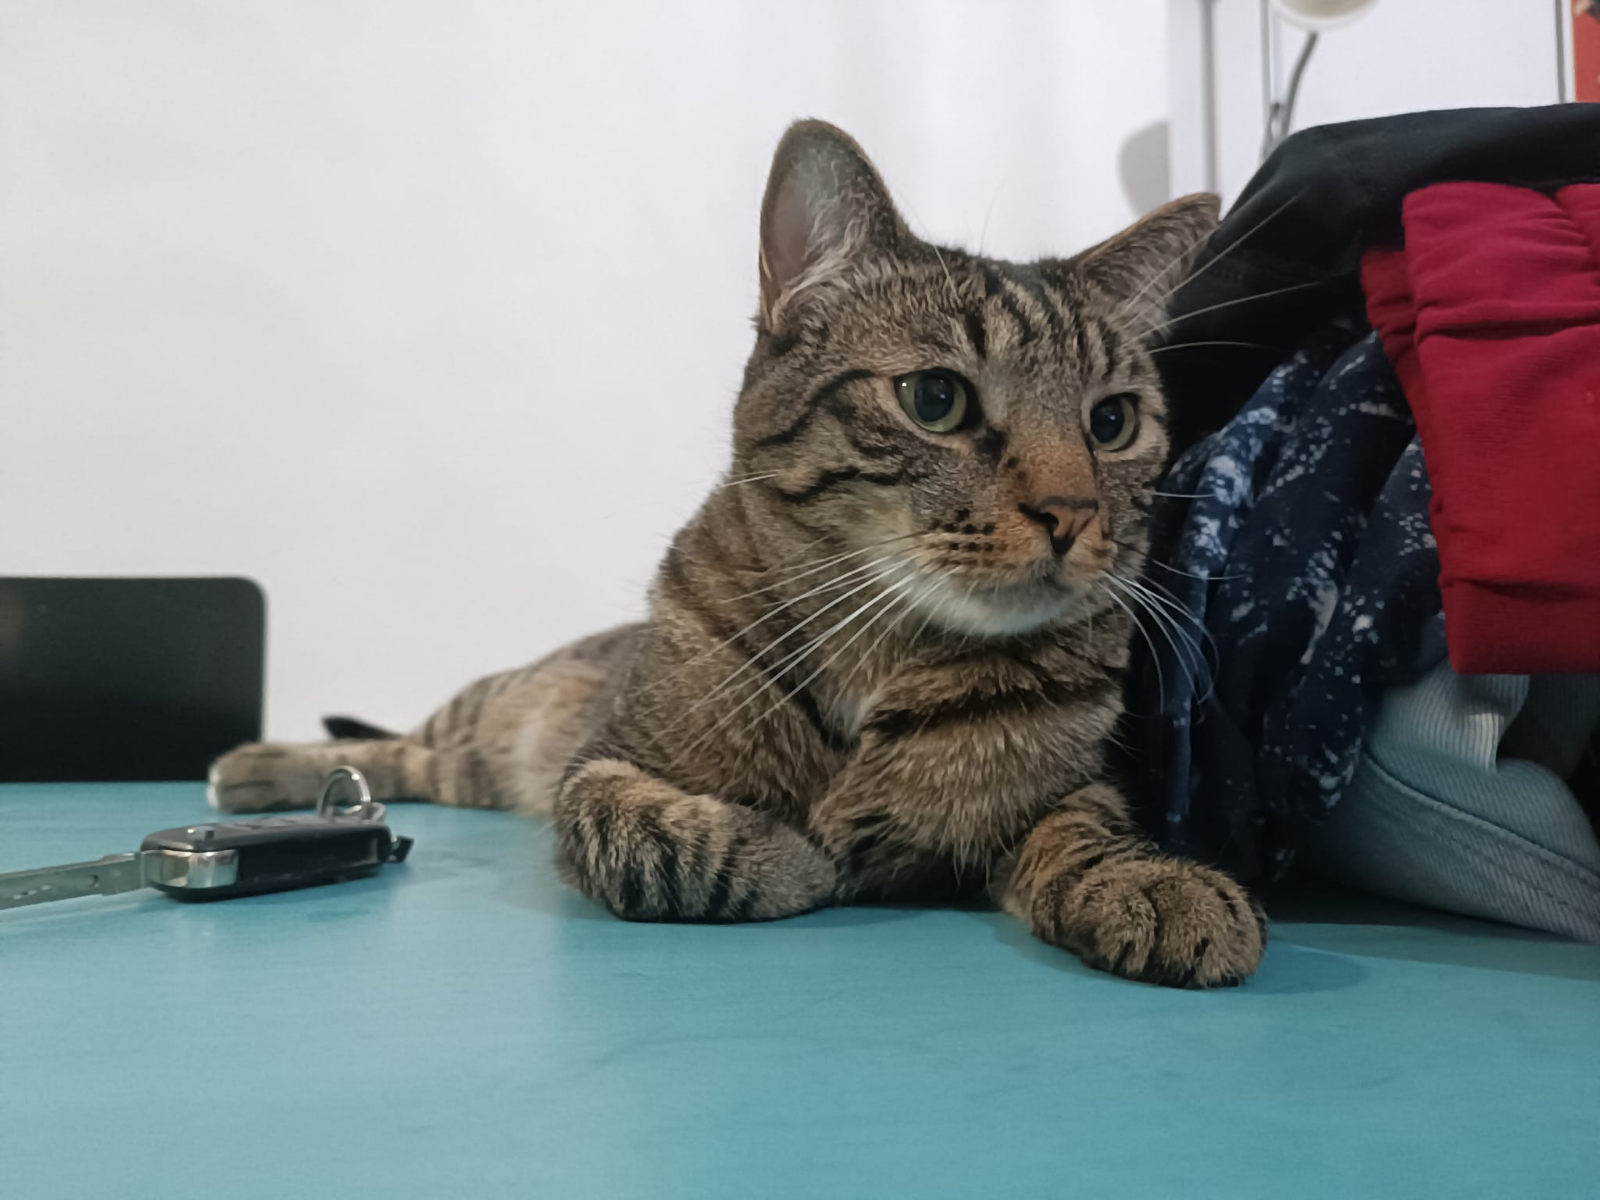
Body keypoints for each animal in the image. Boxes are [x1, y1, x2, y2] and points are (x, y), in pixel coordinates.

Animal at [211, 120, 1266, 988]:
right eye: (935, 399)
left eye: (1112, 422)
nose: (1072, 513)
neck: (882, 650)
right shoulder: (601, 764)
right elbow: (650, 834)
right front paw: (789, 854)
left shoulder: (1071, 789)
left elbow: (1086, 828)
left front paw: (1157, 884)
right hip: (496, 711)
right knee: (398, 746)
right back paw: (262, 765)